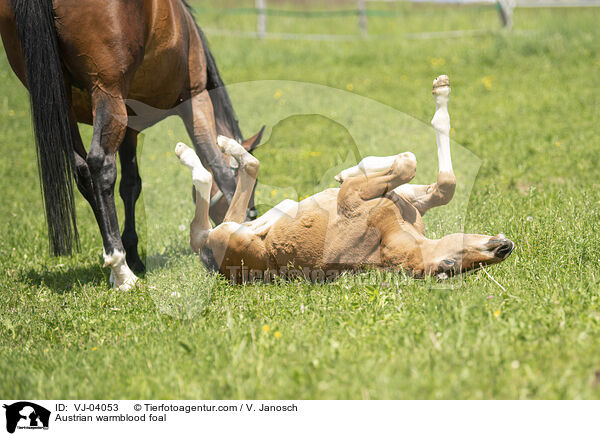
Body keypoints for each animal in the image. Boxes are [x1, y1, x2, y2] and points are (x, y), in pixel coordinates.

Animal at [0, 0, 262, 290]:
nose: (254, 215)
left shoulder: (130, 127)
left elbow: (130, 186)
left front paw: (134, 253)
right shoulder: (196, 98)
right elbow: (219, 166)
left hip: (62, 104)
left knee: (84, 173)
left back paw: (117, 263)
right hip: (107, 93)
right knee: (100, 165)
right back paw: (121, 269)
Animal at [175, 77, 516, 282]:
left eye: (450, 266)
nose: (504, 247)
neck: (389, 234)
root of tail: (212, 264)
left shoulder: (351, 198)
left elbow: (410, 164)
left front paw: (351, 170)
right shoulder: (409, 200)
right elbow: (442, 183)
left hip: (230, 236)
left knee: (202, 227)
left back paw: (198, 154)